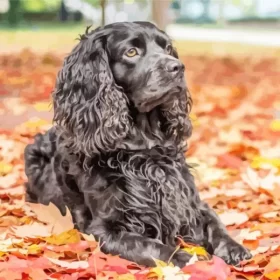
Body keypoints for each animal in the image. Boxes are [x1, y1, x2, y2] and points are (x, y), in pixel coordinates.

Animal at [24, 21, 252, 266]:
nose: (178, 68)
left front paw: (233, 247)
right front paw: (187, 257)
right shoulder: (105, 229)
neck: (145, 147)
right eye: (131, 52)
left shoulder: (190, 203)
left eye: (167, 48)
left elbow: (215, 223)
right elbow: (152, 247)